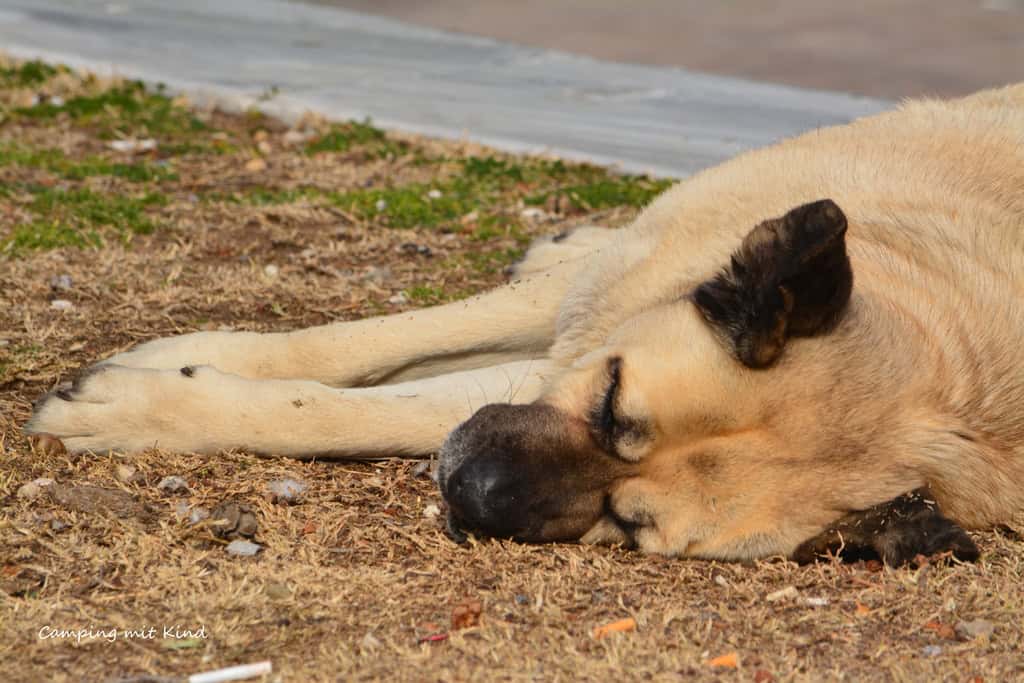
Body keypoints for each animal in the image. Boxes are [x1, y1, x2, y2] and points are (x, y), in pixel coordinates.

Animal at [28, 83, 1024, 565]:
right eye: (614, 403)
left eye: (627, 523)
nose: (474, 493)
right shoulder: (597, 307)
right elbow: (356, 344)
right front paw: (160, 375)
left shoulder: (541, 370)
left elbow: (361, 408)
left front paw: (150, 406)